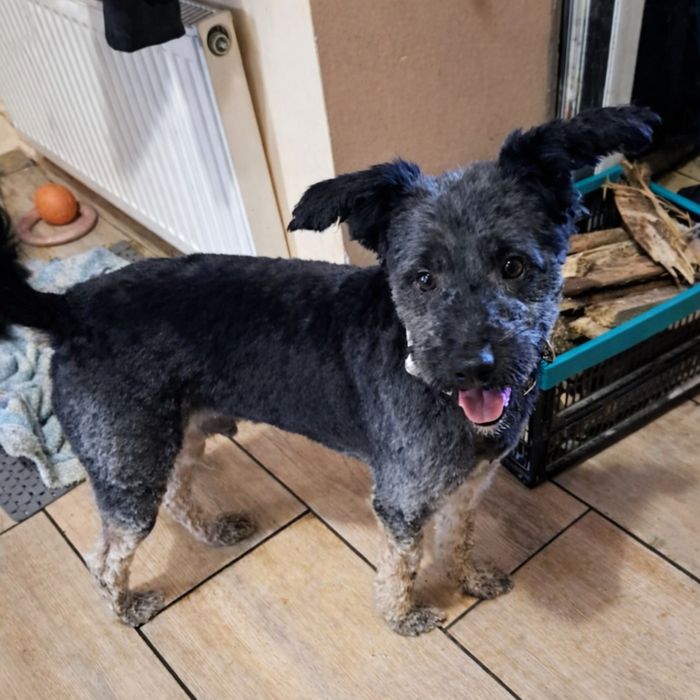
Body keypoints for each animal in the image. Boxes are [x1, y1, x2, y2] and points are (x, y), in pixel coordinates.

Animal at [0, 106, 658, 635]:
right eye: (422, 278)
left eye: (515, 265)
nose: (473, 368)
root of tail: (69, 307)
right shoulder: (402, 496)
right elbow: (402, 565)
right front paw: (403, 618)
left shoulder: (469, 485)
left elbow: (459, 538)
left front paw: (470, 578)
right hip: (128, 456)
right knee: (106, 555)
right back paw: (126, 608)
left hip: (171, 437)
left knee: (180, 495)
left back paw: (214, 532)